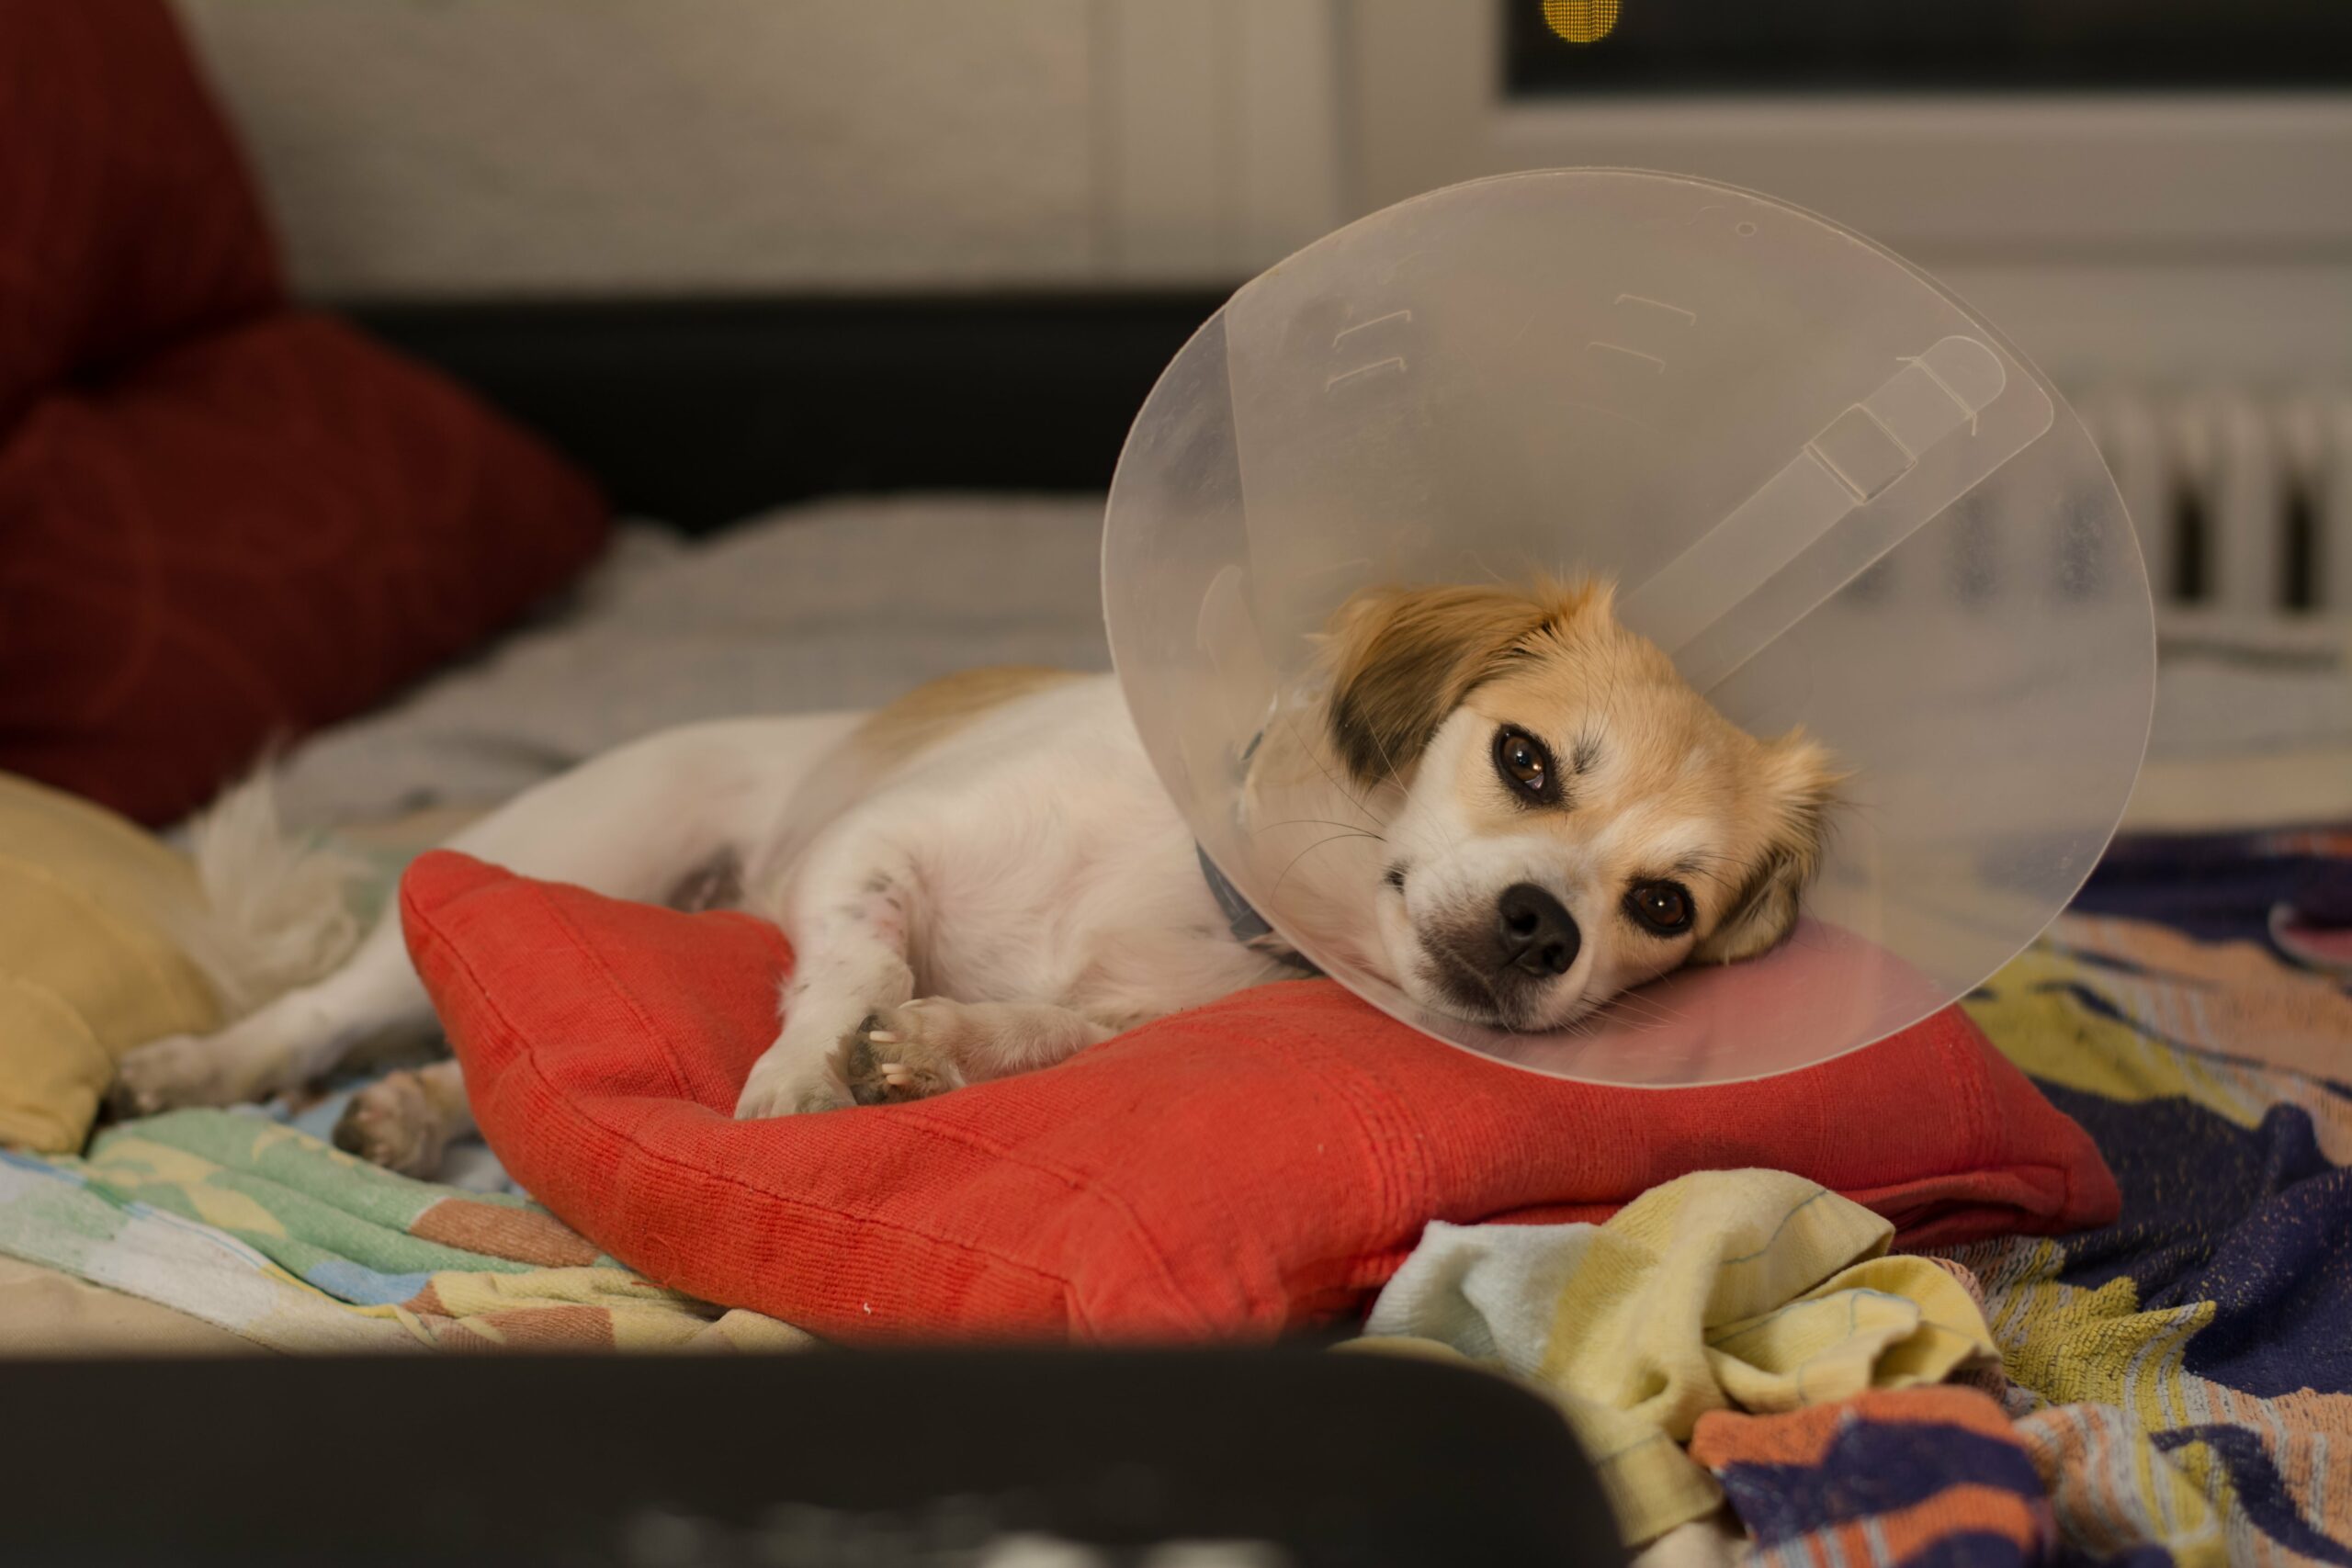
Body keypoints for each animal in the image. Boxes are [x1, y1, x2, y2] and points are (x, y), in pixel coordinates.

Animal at [110, 581, 1834, 1175]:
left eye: (1664, 907)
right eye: (1528, 760)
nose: (1545, 927)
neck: (1193, 890)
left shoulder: (1131, 1016)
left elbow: (1026, 1033)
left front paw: (930, 1052)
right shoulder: (878, 853)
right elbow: (865, 952)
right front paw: (810, 1069)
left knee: (479, 1050)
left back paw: (412, 1112)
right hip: (568, 850)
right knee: (322, 1014)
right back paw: (198, 1065)